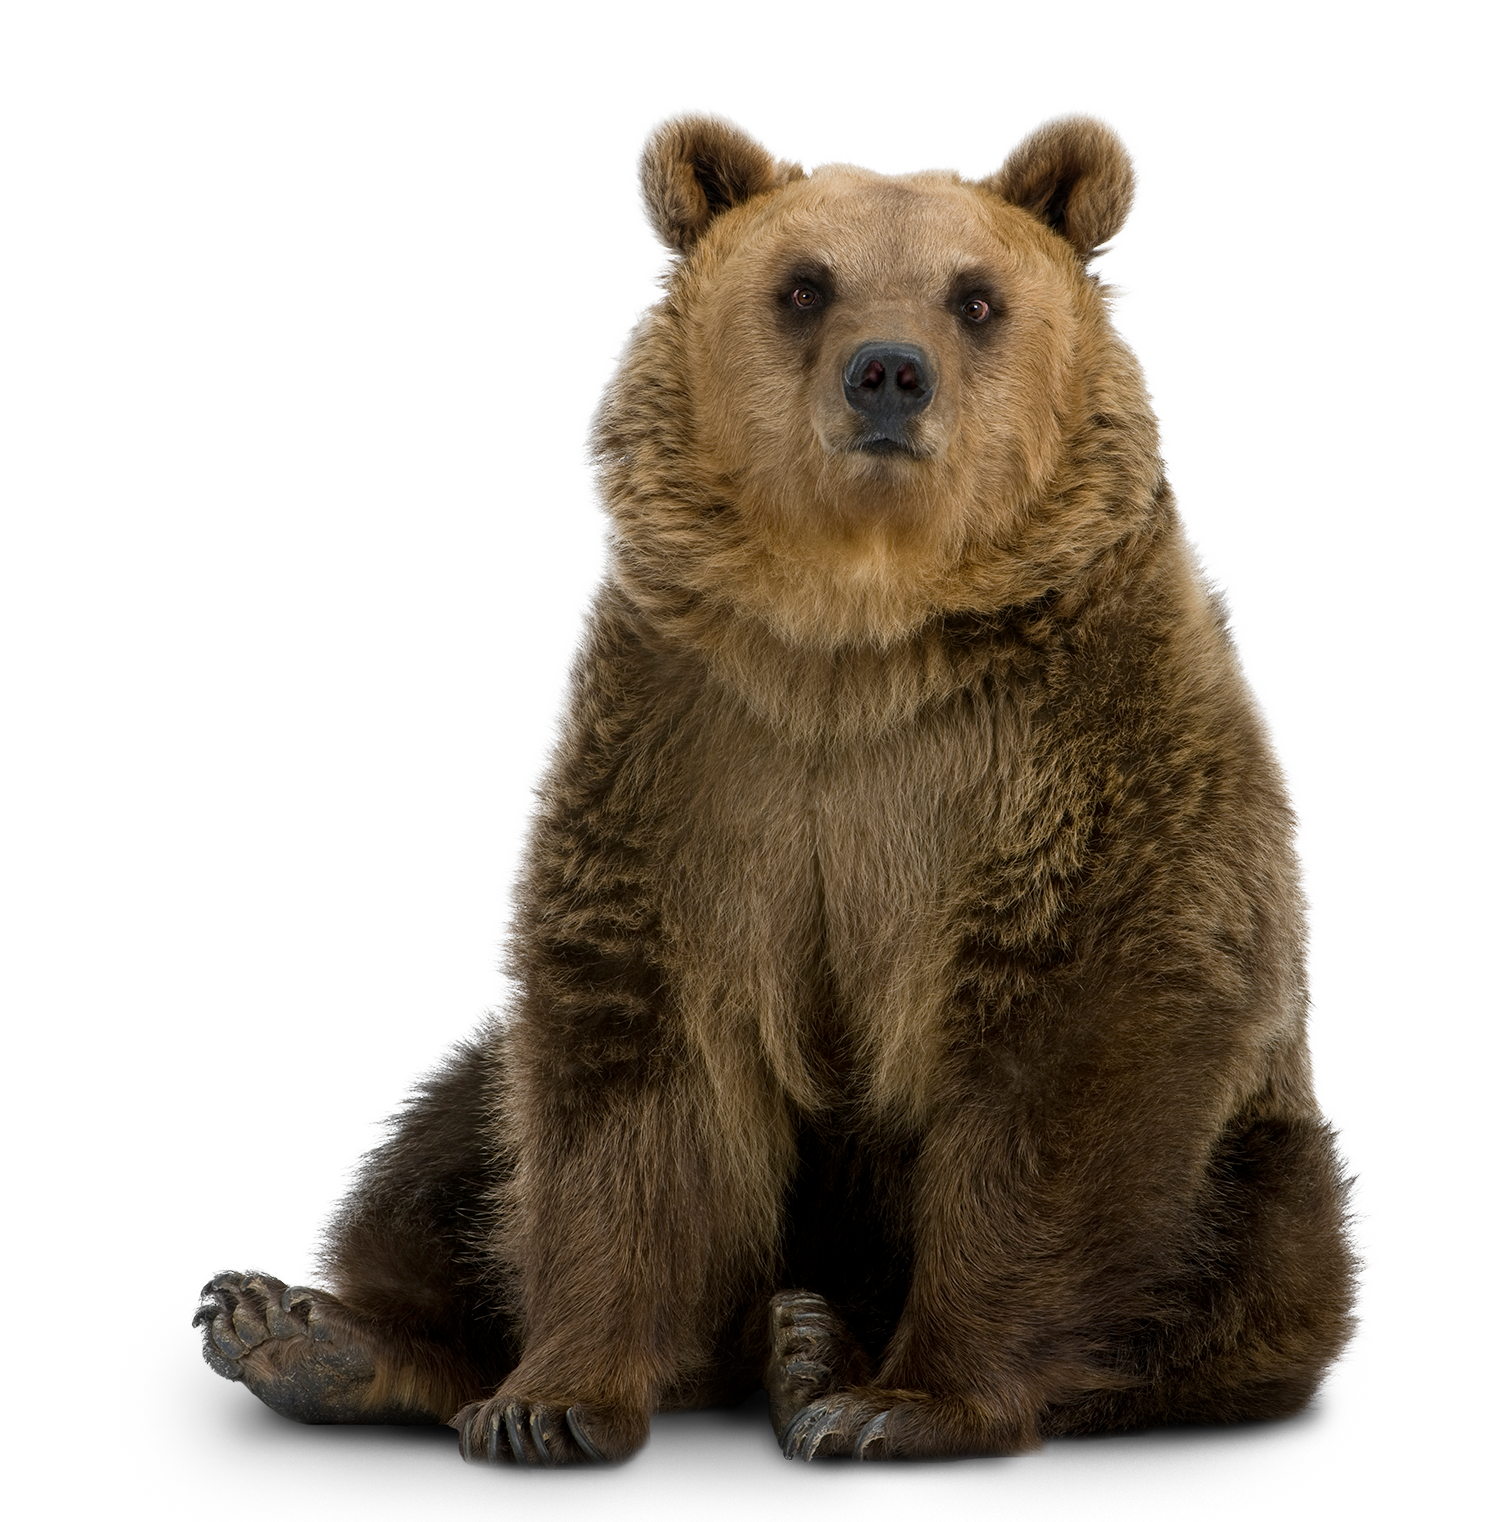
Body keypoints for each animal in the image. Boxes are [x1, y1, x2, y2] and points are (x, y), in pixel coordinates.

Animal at [193, 109, 1361, 1468]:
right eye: (805, 285)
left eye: (975, 296)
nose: (888, 372)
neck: (854, 633)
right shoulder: (694, 751)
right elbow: (630, 1065)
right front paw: (548, 1403)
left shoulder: (1077, 746)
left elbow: (1068, 1055)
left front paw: (906, 1405)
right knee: (451, 1132)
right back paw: (303, 1330)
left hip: (1261, 1160)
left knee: (1256, 1255)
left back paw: (815, 1350)